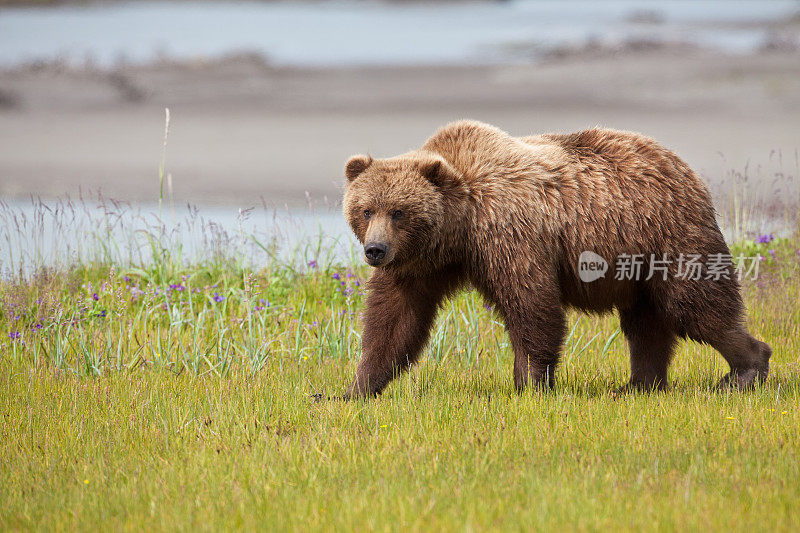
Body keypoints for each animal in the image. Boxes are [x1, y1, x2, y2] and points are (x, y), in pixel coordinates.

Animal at [340, 118, 772, 396]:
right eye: (366, 210)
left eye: (399, 211)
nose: (375, 250)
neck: (460, 226)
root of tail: (683, 166)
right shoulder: (419, 263)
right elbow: (394, 319)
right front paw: (354, 389)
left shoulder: (510, 236)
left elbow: (531, 305)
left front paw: (530, 385)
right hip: (635, 260)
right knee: (645, 323)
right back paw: (638, 385)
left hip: (667, 235)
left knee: (694, 304)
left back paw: (745, 370)